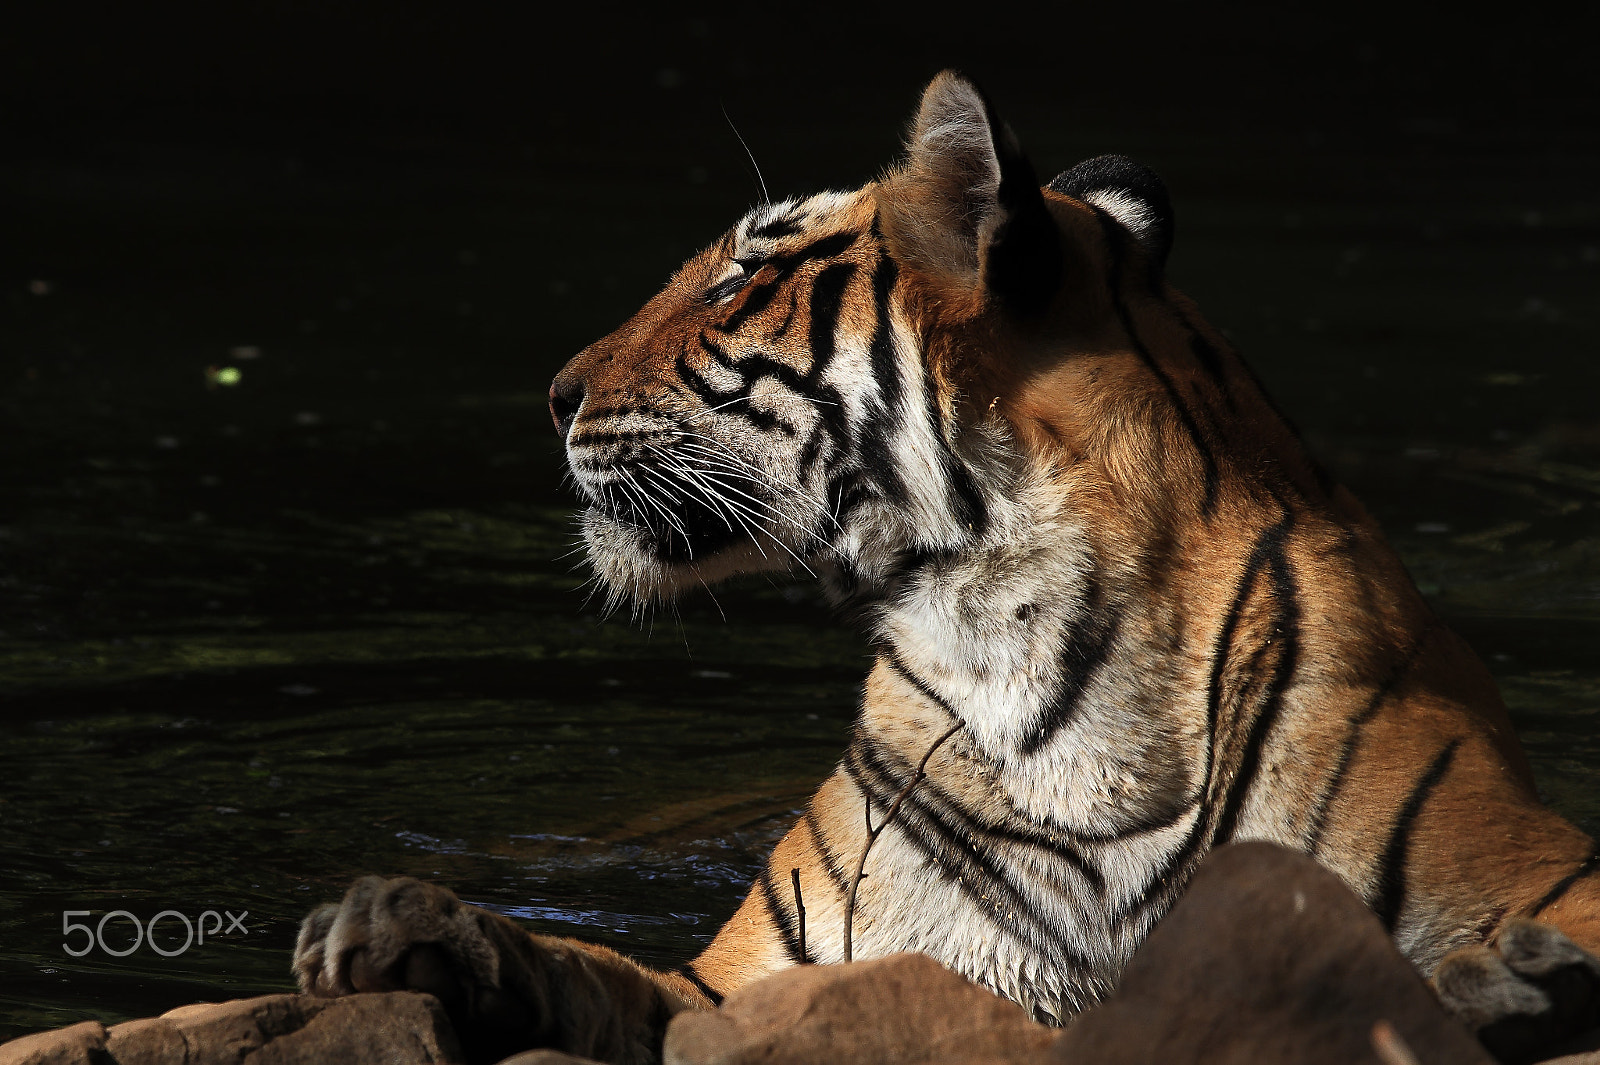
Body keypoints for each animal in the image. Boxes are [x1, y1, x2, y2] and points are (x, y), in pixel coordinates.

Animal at [292, 71, 1600, 1065]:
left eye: (738, 279)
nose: (554, 394)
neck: (1020, 642)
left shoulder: (1533, 865)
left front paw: (1505, 989)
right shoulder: (757, 975)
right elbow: (600, 978)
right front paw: (420, 938)